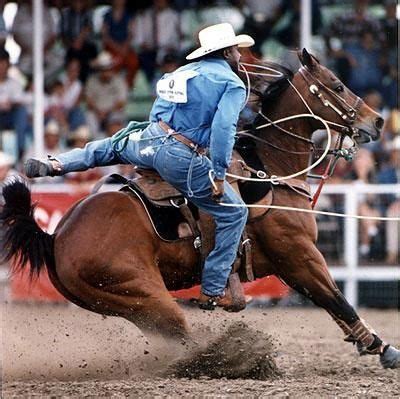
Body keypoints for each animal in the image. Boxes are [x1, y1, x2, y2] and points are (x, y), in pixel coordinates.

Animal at [1, 49, 398, 368]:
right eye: (337, 85)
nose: (377, 120)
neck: (270, 170)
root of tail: (56, 236)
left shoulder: (293, 263)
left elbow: (333, 304)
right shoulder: (299, 256)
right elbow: (338, 300)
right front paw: (383, 349)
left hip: (129, 304)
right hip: (144, 292)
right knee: (182, 335)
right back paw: (232, 359)